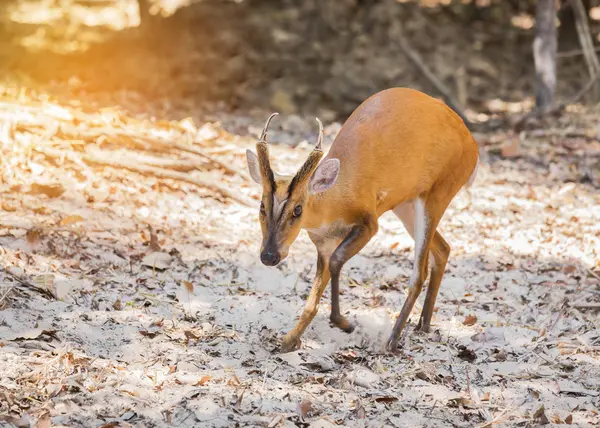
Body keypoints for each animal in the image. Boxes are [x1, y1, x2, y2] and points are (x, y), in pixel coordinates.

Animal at [244, 87, 478, 352]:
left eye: (298, 210)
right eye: (262, 205)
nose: (269, 256)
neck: (334, 200)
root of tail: (473, 144)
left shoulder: (369, 222)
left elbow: (337, 261)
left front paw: (345, 323)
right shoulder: (323, 243)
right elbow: (312, 300)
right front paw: (289, 341)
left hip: (439, 193)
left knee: (419, 273)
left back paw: (393, 340)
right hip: (406, 205)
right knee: (444, 248)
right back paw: (424, 325)